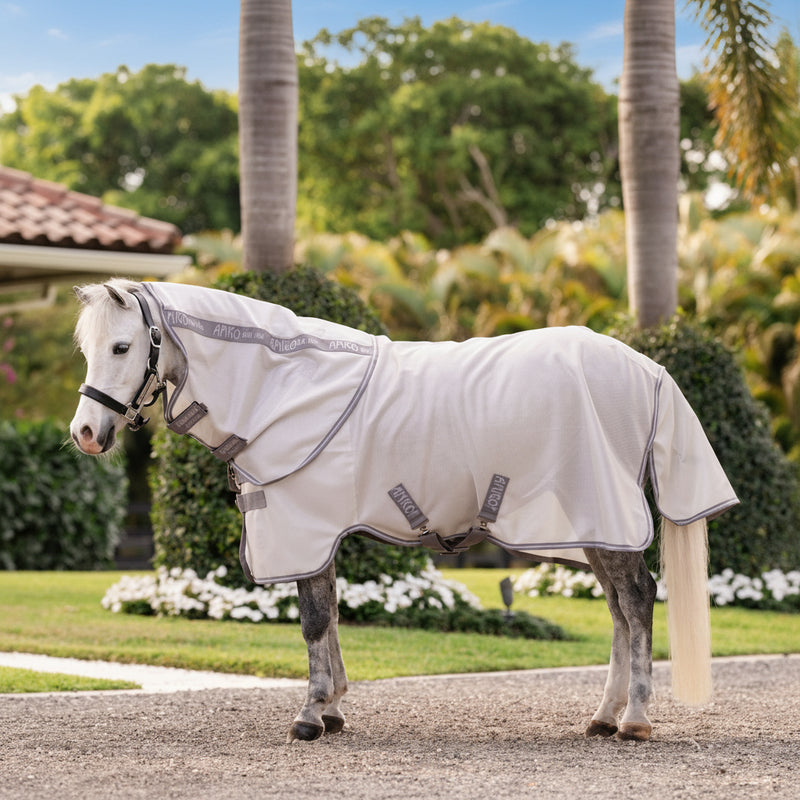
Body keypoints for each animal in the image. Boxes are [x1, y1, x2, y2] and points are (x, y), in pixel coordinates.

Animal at [70, 279, 738, 743]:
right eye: (85, 347)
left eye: (122, 346)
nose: (86, 434)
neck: (284, 386)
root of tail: (646, 368)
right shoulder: (319, 533)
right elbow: (330, 616)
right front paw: (334, 707)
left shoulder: (304, 526)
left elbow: (313, 621)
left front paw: (310, 715)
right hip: (595, 529)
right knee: (622, 610)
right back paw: (603, 716)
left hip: (604, 518)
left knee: (637, 601)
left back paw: (634, 720)